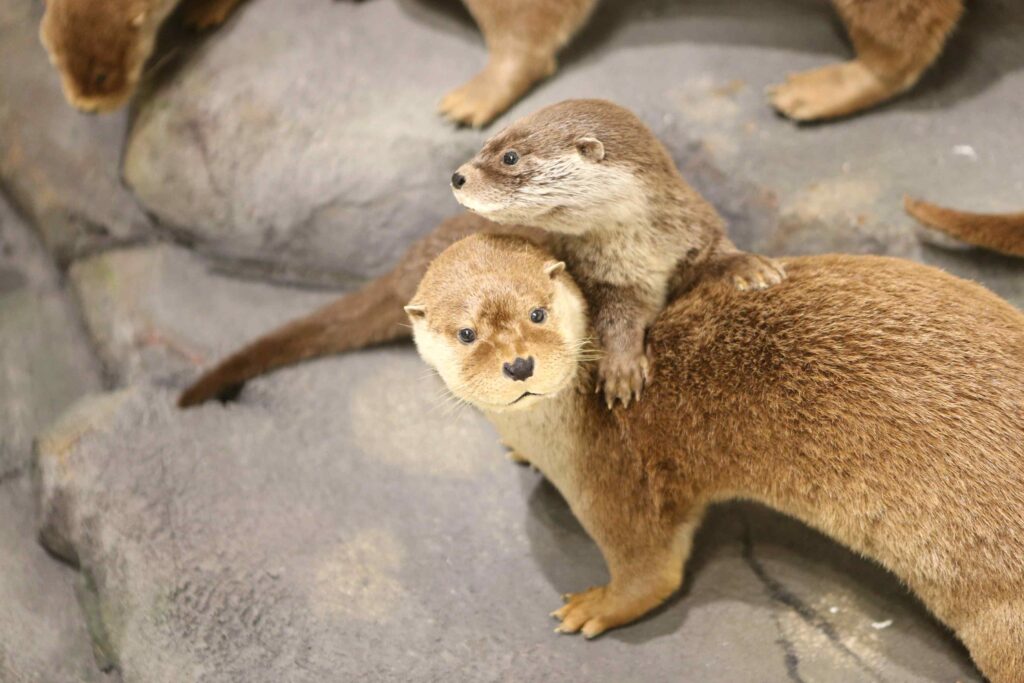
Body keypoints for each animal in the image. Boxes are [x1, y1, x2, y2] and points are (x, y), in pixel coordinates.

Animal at [450, 99, 782, 409]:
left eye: (510, 157)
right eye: (485, 145)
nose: (457, 176)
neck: (646, 250)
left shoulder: (695, 225)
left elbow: (716, 250)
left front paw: (751, 267)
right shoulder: (603, 280)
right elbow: (615, 322)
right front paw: (622, 370)